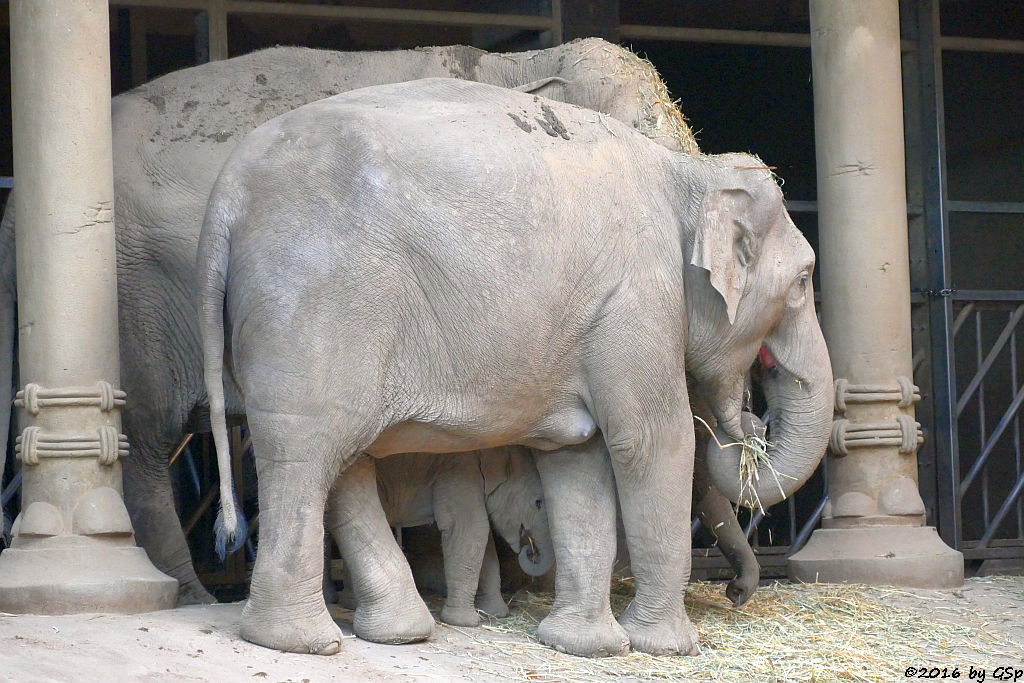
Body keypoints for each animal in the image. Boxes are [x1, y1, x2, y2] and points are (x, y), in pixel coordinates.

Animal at [0, 37, 696, 602]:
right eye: (641, 135)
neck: (513, 64)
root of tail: (14, 212)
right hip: (137, 301)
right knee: (146, 445)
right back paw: (191, 594)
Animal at [337, 446, 557, 626]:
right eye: (538, 502)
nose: (530, 551)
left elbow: (483, 542)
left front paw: (495, 614)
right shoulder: (459, 473)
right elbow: (471, 529)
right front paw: (464, 622)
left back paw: (349, 602)